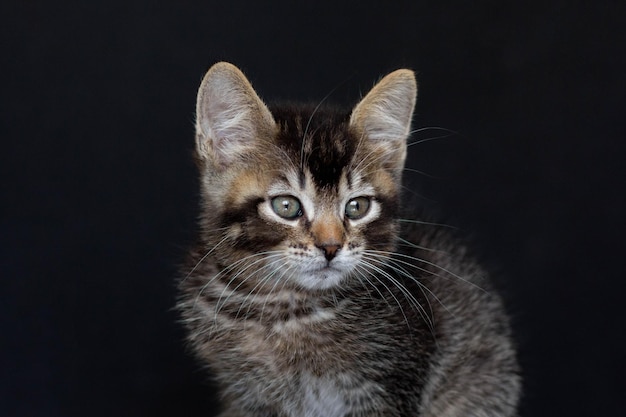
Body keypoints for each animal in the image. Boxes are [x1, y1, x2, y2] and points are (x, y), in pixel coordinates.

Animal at [178, 62, 520, 416]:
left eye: (357, 207)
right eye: (286, 206)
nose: (330, 247)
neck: (282, 310)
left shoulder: (389, 383)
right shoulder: (247, 396)